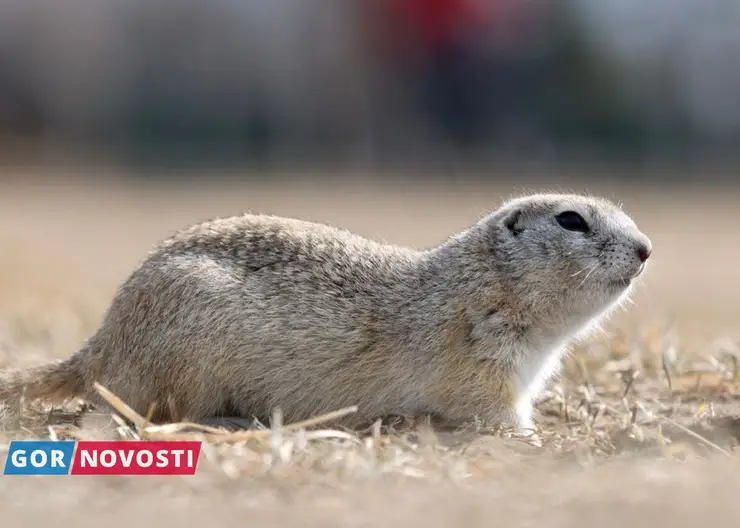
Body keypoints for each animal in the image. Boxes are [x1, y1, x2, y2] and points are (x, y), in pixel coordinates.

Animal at [0, 192, 652, 432]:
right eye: (571, 220)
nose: (647, 249)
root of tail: (100, 348)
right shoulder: (481, 372)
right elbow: (498, 416)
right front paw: (534, 440)